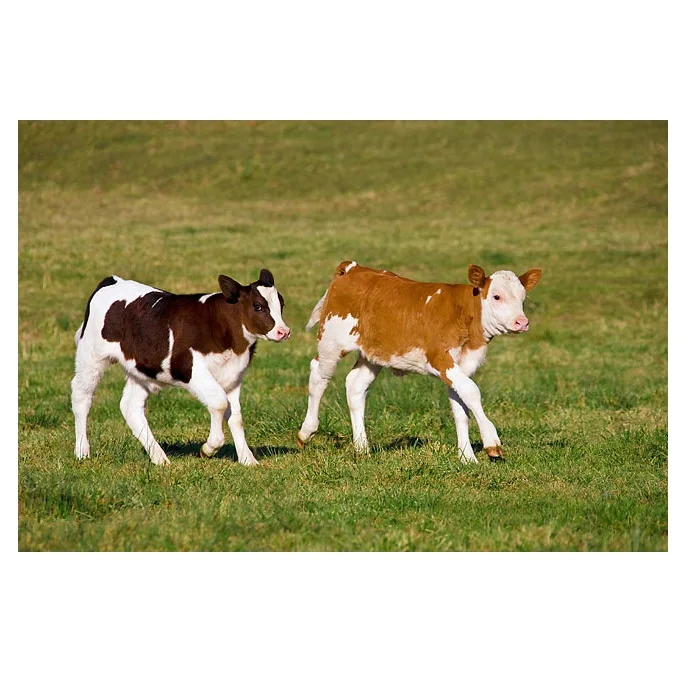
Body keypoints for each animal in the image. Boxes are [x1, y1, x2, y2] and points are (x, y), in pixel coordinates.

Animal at [71, 269, 290, 466]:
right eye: (258, 306)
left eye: (281, 304)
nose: (284, 331)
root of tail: (113, 280)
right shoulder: (190, 369)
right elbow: (219, 403)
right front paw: (208, 448)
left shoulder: (234, 376)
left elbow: (235, 417)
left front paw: (248, 460)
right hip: (91, 356)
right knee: (81, 397)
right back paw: (82, 451)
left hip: (142, 370)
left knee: (130, 406)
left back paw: (159, 458)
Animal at [297, 261, 542, 462]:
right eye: (496, 296)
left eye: (522, 298)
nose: (521, 322)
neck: (463, 314)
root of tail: (352, 268)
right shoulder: (440, 358)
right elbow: (472, 392)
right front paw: (491, 442)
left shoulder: (460, 367)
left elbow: (460, 407)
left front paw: (467, 458)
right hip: (331, 342)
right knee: (319, 376)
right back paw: (306, 431)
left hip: (373, 353)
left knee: (355, 385)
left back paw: (362, 448)